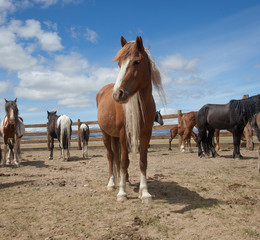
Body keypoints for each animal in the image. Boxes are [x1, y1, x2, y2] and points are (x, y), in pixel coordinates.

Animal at [96, 35, 164, 202]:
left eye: (136, 62)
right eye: (119, 64)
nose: (117, 94)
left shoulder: (146, 133)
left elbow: (142, 161)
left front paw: (144, 192)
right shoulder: (123, 133)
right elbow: (123, 161)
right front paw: (122, 193)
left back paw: (125, 179)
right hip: (106, 134)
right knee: (111, 157)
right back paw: (112, 183)